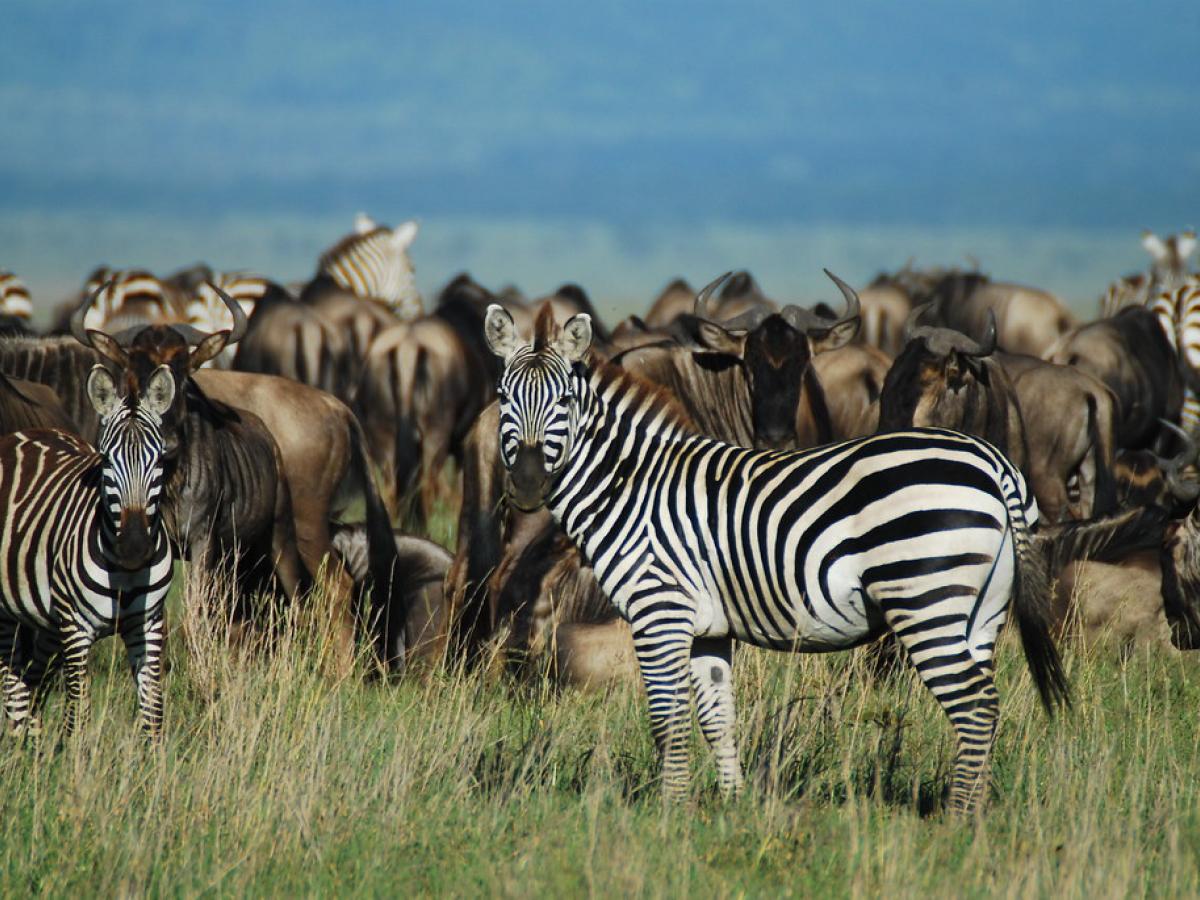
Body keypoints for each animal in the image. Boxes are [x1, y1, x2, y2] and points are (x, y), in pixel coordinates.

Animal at [0, 362, 175, 739]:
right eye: (106, 460)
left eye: (160, 460)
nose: (135, 547)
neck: (124, 574)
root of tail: (23, 434)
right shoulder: (77, 628)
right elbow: (79, 710)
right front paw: (75, 755)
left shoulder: (148, 624)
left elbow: (153, 710)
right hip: (11, 614)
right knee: (13, 684)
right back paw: (24, 746)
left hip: (48, 622)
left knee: (30, 681)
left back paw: (33, 745)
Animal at [480, 280, 1070, 816]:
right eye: (505, 398)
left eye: (564, 401)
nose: (527, 484)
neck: (631, 485)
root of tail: (992, 461)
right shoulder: (708, 628)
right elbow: (717, 718)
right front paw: (730, 806)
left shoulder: (658, 612)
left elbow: (667, 718)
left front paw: (670, 814)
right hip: (981, 611)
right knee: (986, 704)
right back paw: (977, 814)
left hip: (926, 599)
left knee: (974, 708)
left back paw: (956, 821)